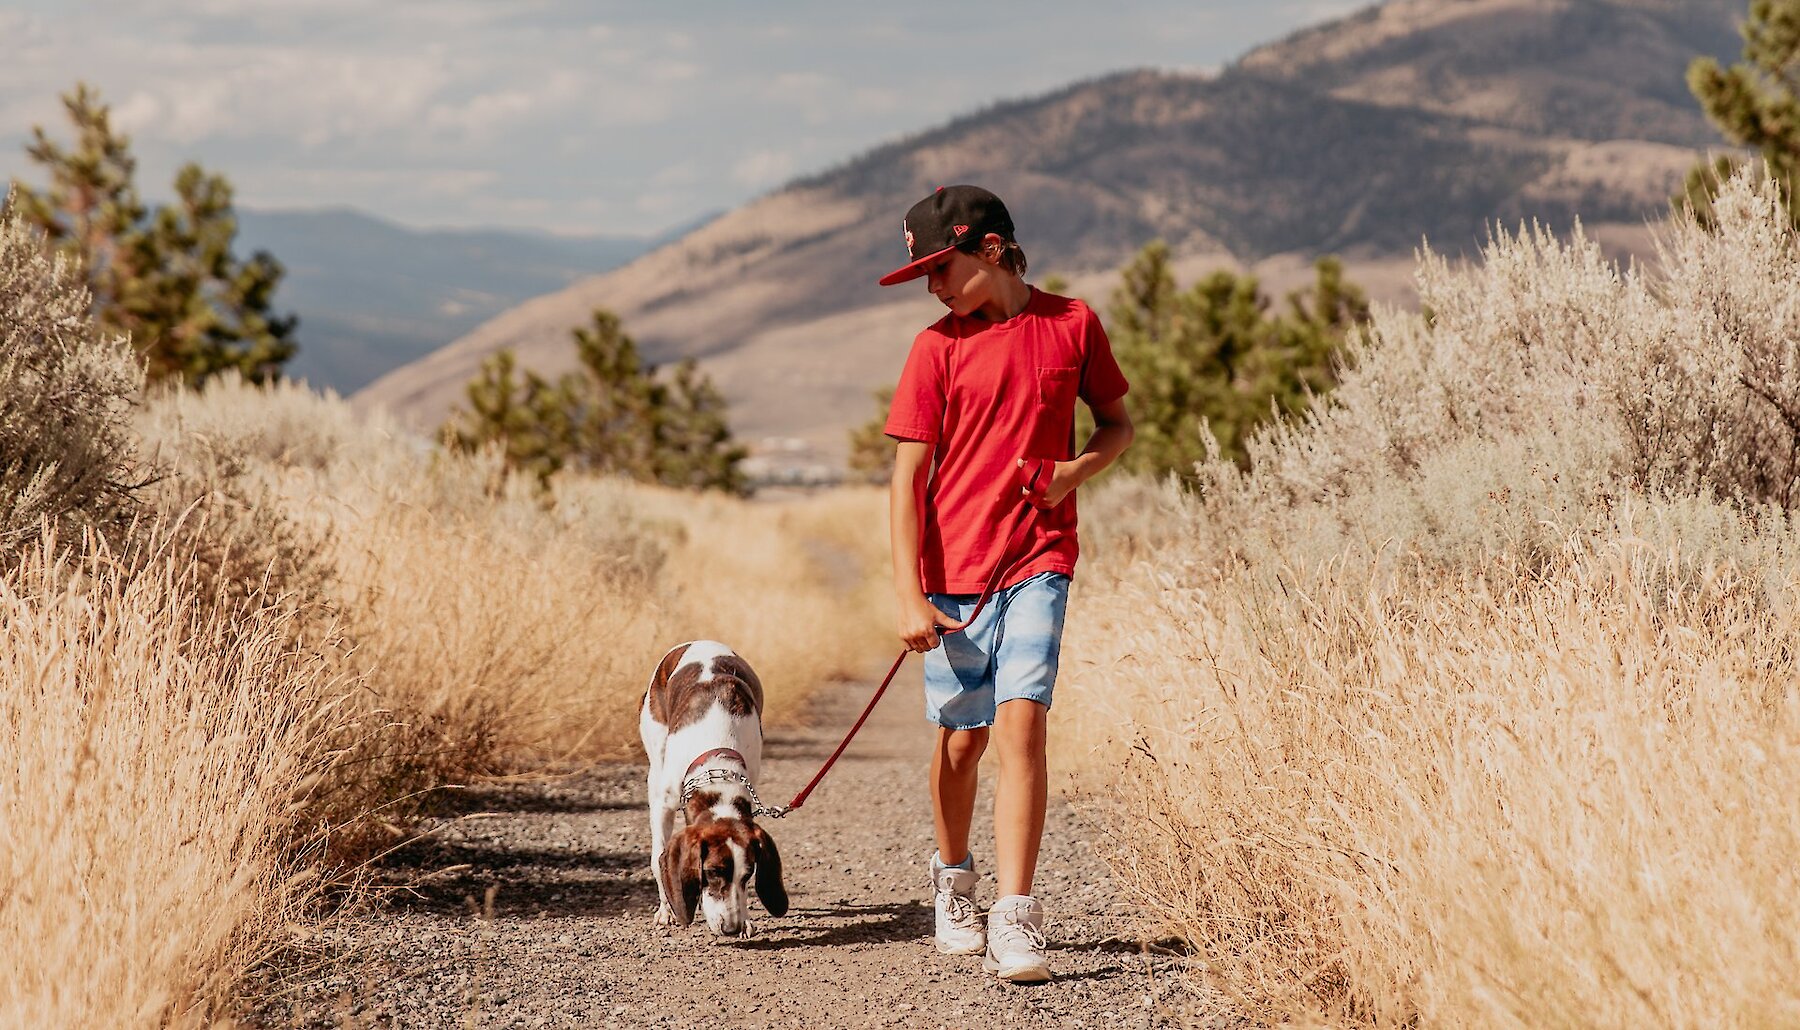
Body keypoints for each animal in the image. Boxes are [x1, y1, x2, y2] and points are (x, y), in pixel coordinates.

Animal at [644, 641, 792, 936]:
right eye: (711, 872)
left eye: (748, 875)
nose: (731, 928)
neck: (716, 765)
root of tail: (698, 641)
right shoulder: (664, 804)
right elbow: (657, 859)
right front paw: (667, 910)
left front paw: (747, 920)